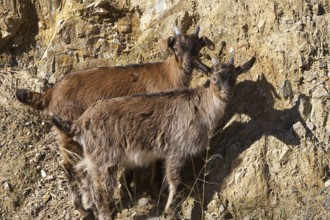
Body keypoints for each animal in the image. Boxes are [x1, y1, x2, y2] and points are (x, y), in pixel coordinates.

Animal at [15, 26, 215, 216]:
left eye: (196, 48)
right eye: (176, 48)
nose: (188, 66)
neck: (167, 74)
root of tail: (50, 93)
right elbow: (155, 162)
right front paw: (154, 190)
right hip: (72, 134)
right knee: (69, 167)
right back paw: (84, 209)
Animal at [52, 55, 256, 218]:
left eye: (234, 77)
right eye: (214, 78)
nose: (227, 94)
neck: (201, 108)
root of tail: (80, 123)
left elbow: (165, 180)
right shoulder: (177, 149)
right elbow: (173, 180)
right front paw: (169, 210)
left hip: (92, 157)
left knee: (80, 172)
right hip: (104, 160)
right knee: (100, 193)